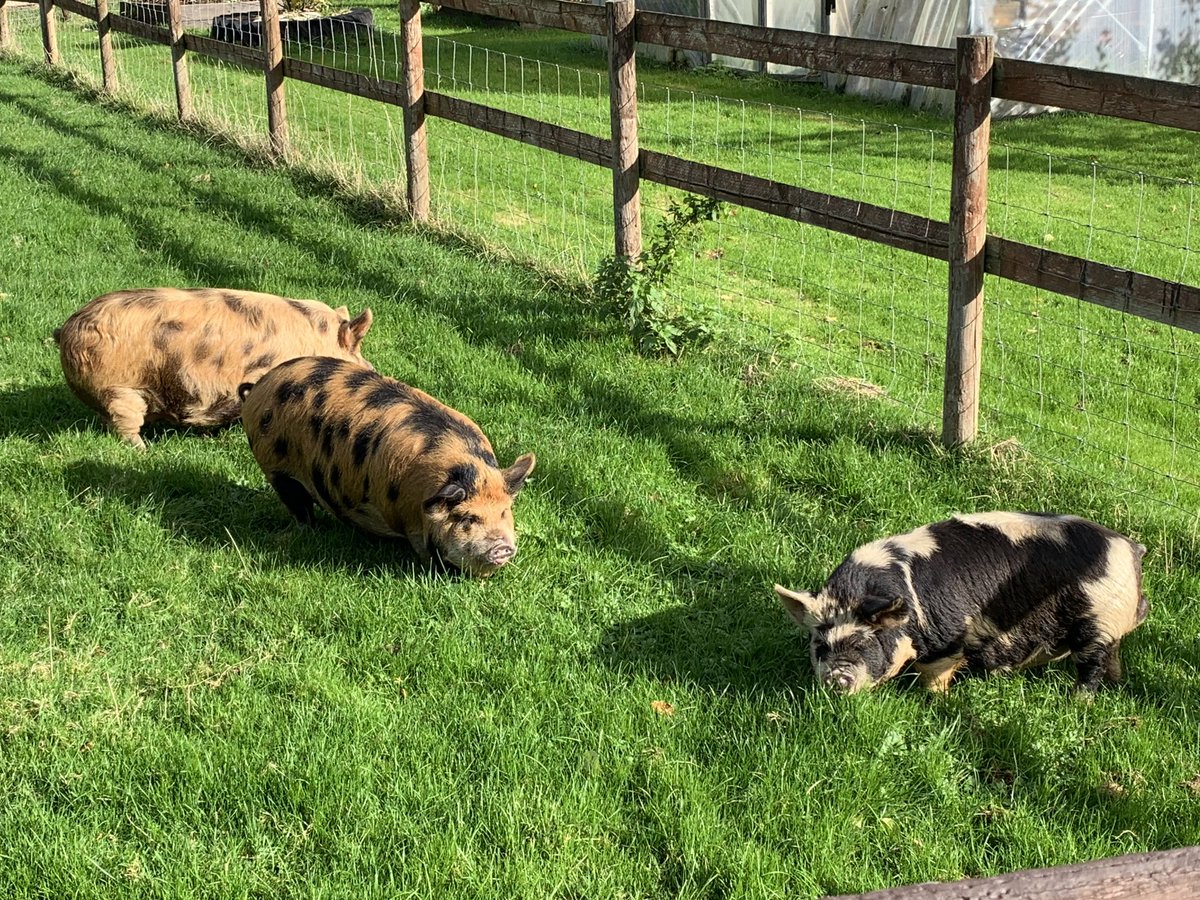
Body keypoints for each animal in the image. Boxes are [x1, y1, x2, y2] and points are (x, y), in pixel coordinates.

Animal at [54, 287, 374, 448]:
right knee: (125, 424)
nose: (374, 370)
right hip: (120, 389)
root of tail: (67, 329)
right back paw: (143, 452)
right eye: (358, 352)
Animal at [239, 356, 536, 576]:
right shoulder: (412, 523)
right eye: (467, 519)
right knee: (297, 504)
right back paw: (309, 530)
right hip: (275, 469)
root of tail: (261, 384)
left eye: (504, 512)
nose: (502, 547)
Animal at [774, 512, 1148, 694]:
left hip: (1098, 622)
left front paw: (938, 702)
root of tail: (1129, 547)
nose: (837, 679)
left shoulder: (947, 642)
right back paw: (1116, 684)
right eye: (820, 644)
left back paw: (1079, 702)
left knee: (1091, 665)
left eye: (865, 642)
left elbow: (935, 678)